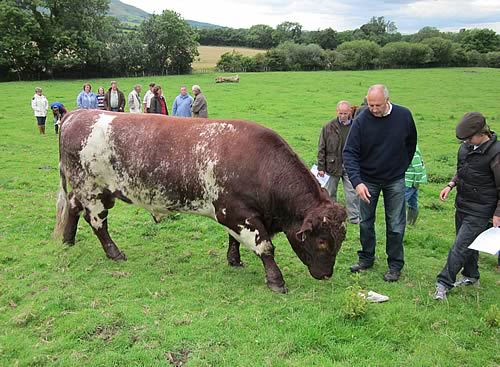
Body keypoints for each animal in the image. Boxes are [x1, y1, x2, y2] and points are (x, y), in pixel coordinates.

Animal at [52, 110, 346, 294]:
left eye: (341, 240)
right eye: (322, 241)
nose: (326, 274)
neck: (262, 166)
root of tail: (76, 114)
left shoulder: (237, 214)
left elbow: (233, 240)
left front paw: (234, 260)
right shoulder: (237, 214)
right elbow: (266, 248)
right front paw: (276, 281)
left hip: (88, 190)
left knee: (74, 207)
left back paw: (68, 239)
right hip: (93, 191)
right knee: (97, 223)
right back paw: (114, 253)